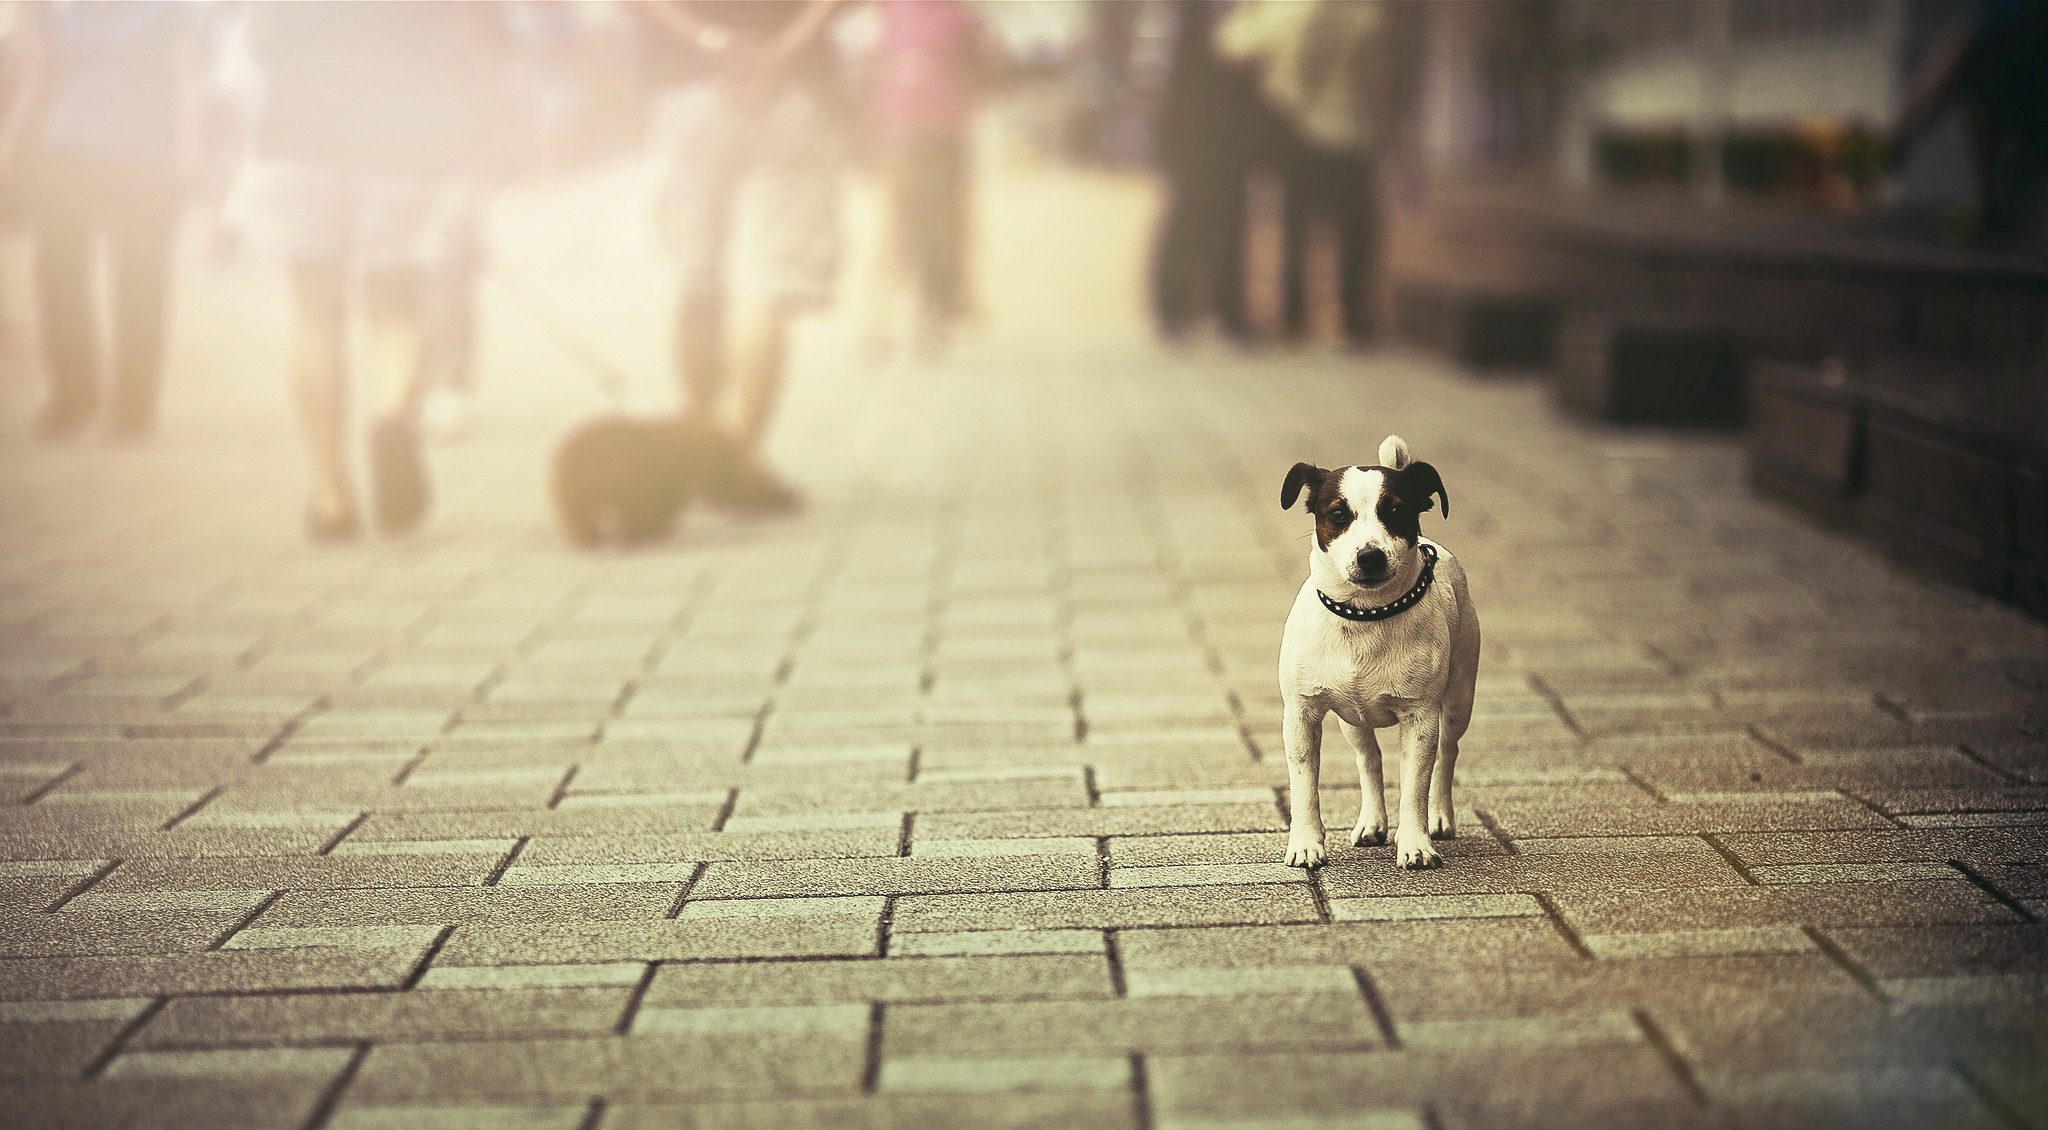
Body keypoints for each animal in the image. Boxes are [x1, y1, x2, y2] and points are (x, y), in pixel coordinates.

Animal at [1269, 436, 1482, 867]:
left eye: (1396, 512)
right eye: (1337, 514)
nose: (1370, 555)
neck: (1365, 614)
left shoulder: (1421, 718)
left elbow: (1415, 785)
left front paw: (1416, 844)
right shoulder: (1301, 715)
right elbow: (1304, 786)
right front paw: (1306, 844)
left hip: (1459, 698)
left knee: (1447, 755)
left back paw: (1440, 817)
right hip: (1351, 721)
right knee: (1368, 759)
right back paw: (1372, 822)